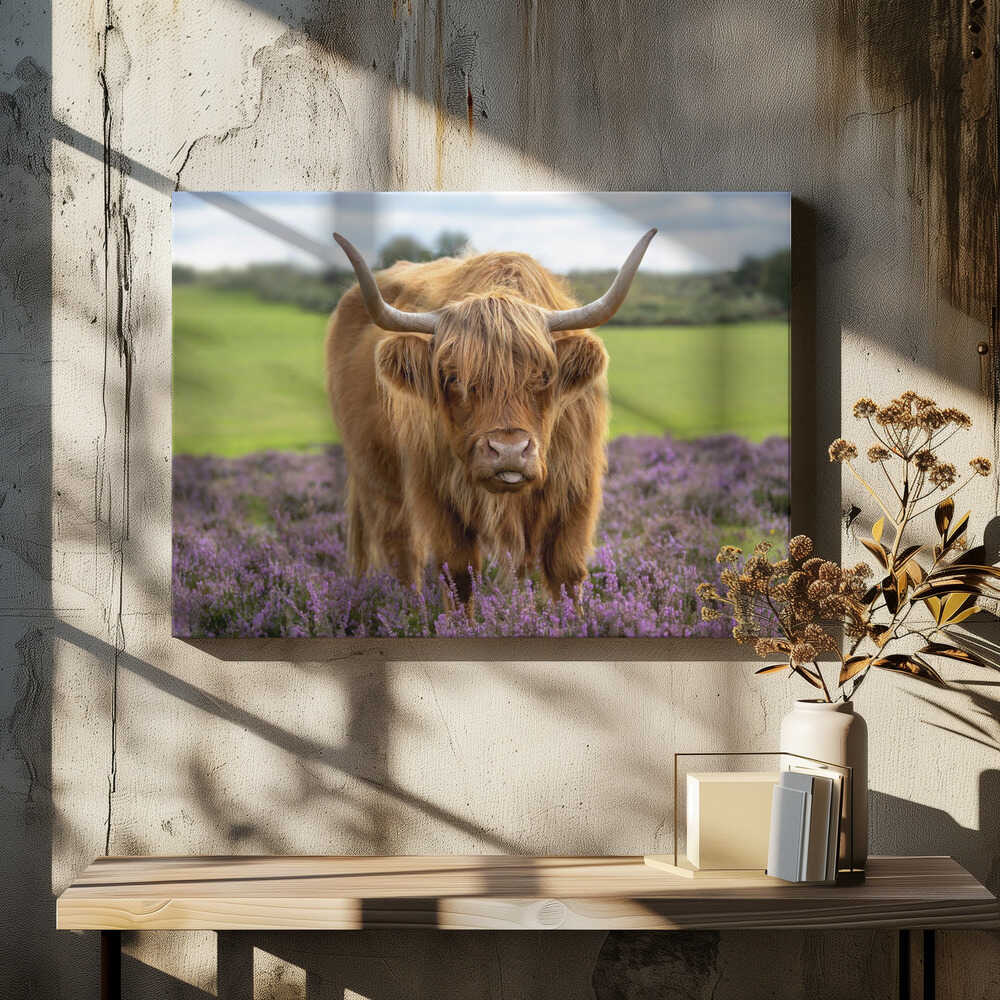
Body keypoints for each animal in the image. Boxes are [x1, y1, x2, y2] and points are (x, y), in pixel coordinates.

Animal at [325, 228, 656, 604]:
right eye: (454, 378)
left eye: (544, 376)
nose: (509, 452)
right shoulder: (437, 493)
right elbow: (458, 575)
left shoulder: (576, 486)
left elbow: (566, 572)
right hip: (377, 479)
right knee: (402, 554)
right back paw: (412, 609)